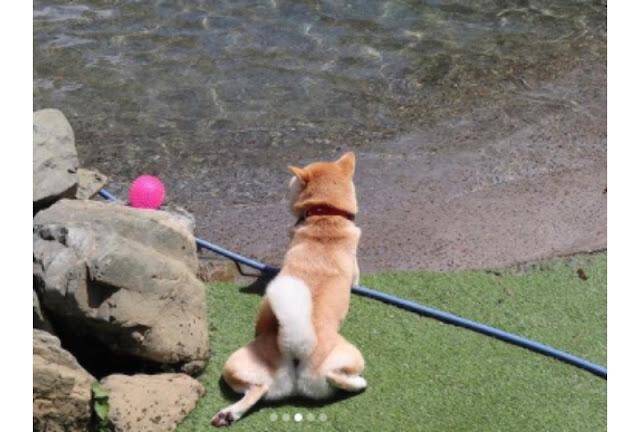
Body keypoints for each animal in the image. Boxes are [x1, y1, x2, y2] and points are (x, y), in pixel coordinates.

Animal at [212, 152, 364, 426]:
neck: (326, 216)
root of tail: (295, 348)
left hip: (235, 367)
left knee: (258, 389)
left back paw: (228, 414)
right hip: (351, 356)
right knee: (339, 377)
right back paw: (359, 382)